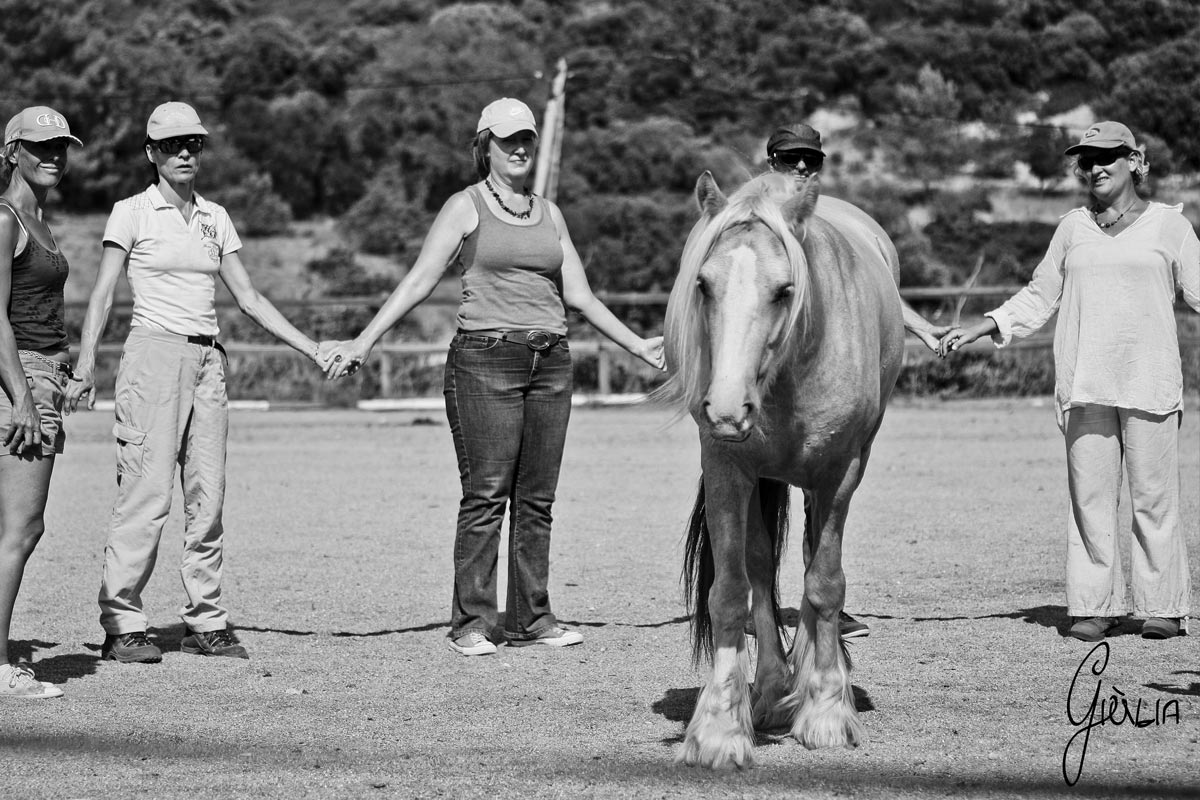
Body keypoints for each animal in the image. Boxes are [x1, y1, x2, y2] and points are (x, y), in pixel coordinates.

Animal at [662, 172, 902, 767]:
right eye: (703, 284)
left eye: (784, 290)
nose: (726, 409)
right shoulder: (728, 468)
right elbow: (731, 591)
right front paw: (721, 727)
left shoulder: (839, 473)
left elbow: (825, 584)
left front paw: (827, 711)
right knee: (760, 568)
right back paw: (772, 689)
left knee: (816, 560)